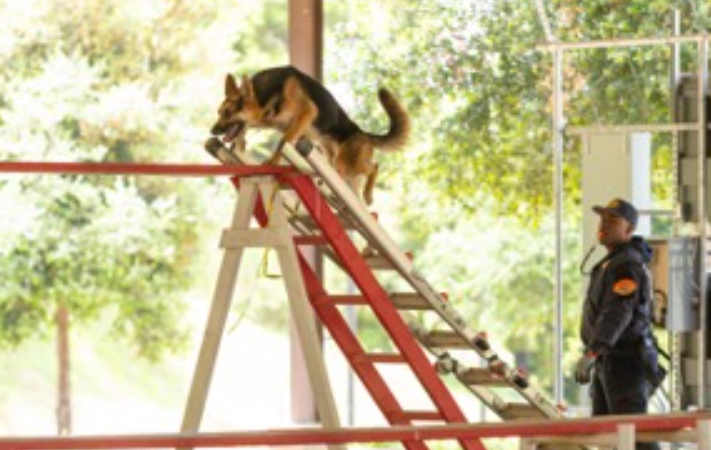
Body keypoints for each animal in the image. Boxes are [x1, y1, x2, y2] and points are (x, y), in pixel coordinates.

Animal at [209, 66, 408, 205]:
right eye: (219, 113)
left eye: (227, 113)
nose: (212, 131)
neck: (267, 95)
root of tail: (361, 132)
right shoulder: (286, 125)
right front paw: (241, 141)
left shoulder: (306, 112)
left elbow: (283, 142)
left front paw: (272, 162)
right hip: (338, 165)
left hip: (349, 163)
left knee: (374, 167)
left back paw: (368, 195)